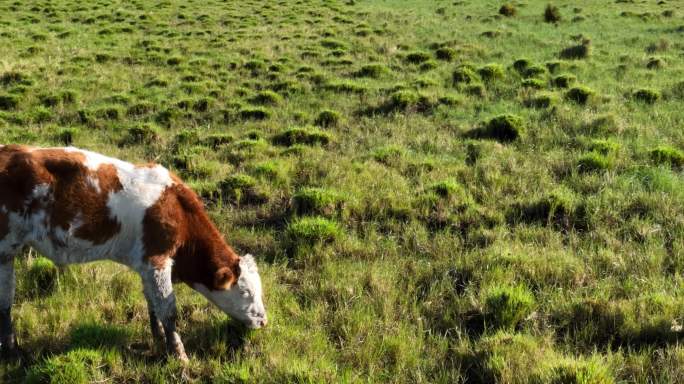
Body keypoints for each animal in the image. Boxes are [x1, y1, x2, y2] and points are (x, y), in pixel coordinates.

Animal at [0, 144, 268, 360]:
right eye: (245, 291)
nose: (263, 320)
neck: (178, 209)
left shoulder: (145, 265)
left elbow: (153, 304)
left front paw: (158, 340)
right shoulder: (157, 260)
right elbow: (168, 310)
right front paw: (179, 355)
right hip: (6, 247)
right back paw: (13, 352)